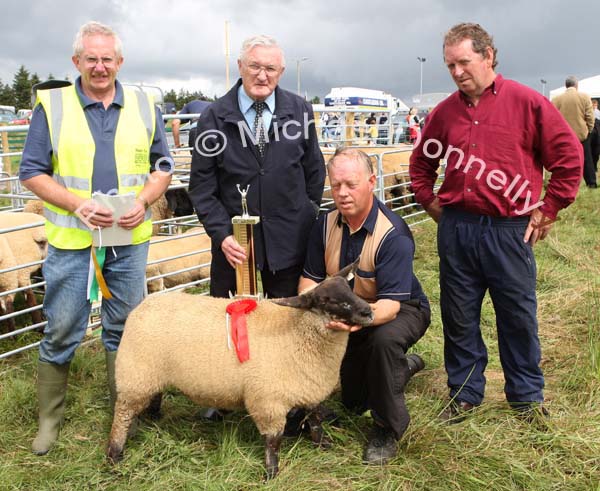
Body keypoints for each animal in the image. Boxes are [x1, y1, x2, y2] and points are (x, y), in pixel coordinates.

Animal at [105, 262, 372, 480]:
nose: (368, 311)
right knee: (122, 416)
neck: (296, 332)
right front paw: (272, 472)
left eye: (349, 289)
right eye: (326, 300)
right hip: (135, 374)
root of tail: (142, 305)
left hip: (150, 374)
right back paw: (115, 455)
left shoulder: (310, 390)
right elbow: (273, 441)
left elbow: (315, 421)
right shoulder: (267, 402)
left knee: (152, 396)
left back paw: (152, 416)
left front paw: (323, 444)